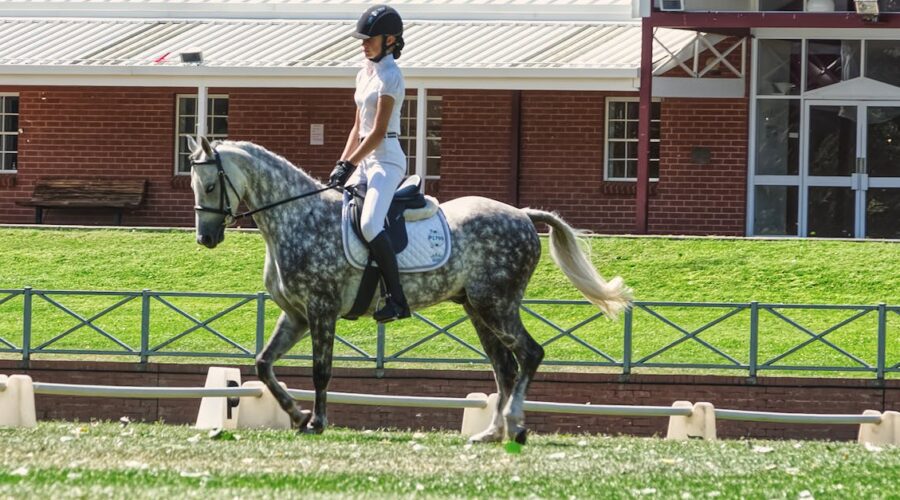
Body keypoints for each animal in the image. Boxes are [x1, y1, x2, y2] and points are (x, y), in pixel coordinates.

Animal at [186, 136, 632, 444]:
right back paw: (492, 433)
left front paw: (317, 421)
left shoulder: (320, 310)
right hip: (478, 308)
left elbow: (321, 370)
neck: (297, 217)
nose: (205, 238)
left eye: (209, 186)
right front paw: (296, 416)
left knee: (530, 355)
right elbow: (263, 363)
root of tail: (521, 214)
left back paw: (515, 426)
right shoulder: (295, 314)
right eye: (193, 185)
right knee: (505, 367)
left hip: (497, 304)